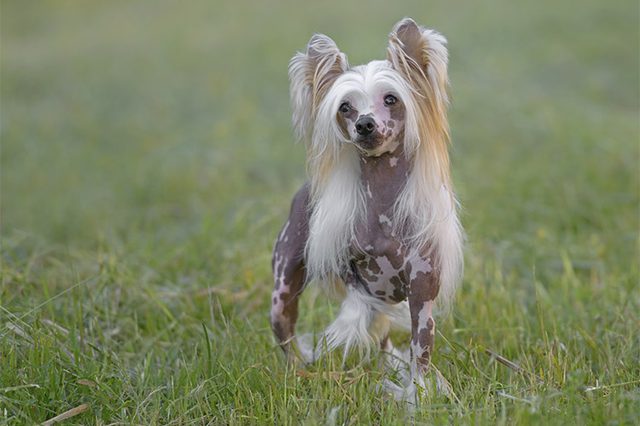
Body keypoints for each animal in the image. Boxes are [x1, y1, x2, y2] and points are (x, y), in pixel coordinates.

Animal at [272, 17, 464, 402]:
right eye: (345, 107)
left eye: (391, 99)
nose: (364, 124)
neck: (383, 205)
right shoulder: (356, 277)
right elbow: (361, 307)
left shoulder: (422, 291)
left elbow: (421, 347)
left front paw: (418, 393)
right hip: (282, 289)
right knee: (286, 336)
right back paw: (298, 374)